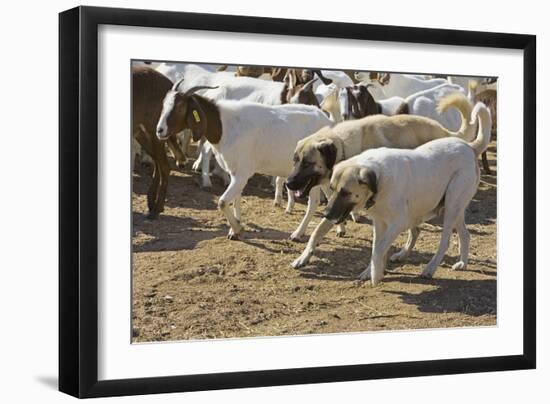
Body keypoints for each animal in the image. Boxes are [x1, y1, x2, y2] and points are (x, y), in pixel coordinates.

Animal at [132, 67, 177, 218]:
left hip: (156, 132)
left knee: (164, 166)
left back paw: (156, 208)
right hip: (142, 133)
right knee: (159, 163)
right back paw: (152, 203)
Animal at [294, 102, 492, 286]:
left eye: (345, 192)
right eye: (333, 189)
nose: (326, 213)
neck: (379, 181)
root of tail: (469, 147)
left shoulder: (398, 223)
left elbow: (379, 249)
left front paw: (375, 275)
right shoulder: (379, 223)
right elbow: (375, 248)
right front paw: (372, 271)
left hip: (451, 205)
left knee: (444, 241)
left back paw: (430, 268)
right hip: (452, 207)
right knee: (464, 235)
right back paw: (460, 263)